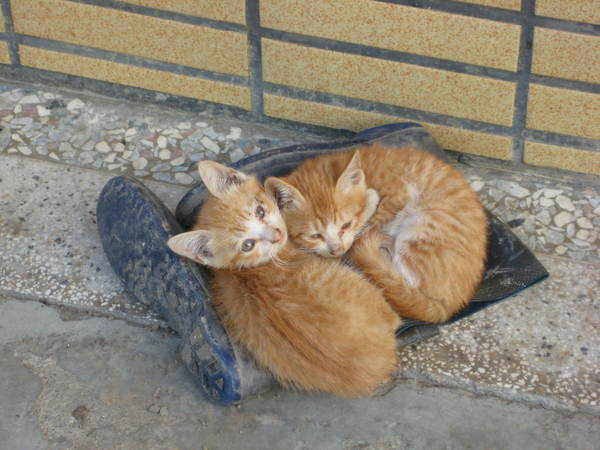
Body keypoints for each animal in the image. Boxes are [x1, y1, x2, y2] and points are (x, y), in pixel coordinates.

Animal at [166, 160, 400, 396]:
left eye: (260, 211)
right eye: (247, 245)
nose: (276, 235)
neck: (243, 270)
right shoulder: (323, 249)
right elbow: (347, 235)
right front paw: (370, 199)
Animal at [268, 145, 488, 324]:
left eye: (346, 224)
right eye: (315, 236)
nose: (336, 250)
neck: (367, 171)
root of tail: (449, 305)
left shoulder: (401, 193)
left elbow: (368, 223)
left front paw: (369, 201)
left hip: (423, 223)